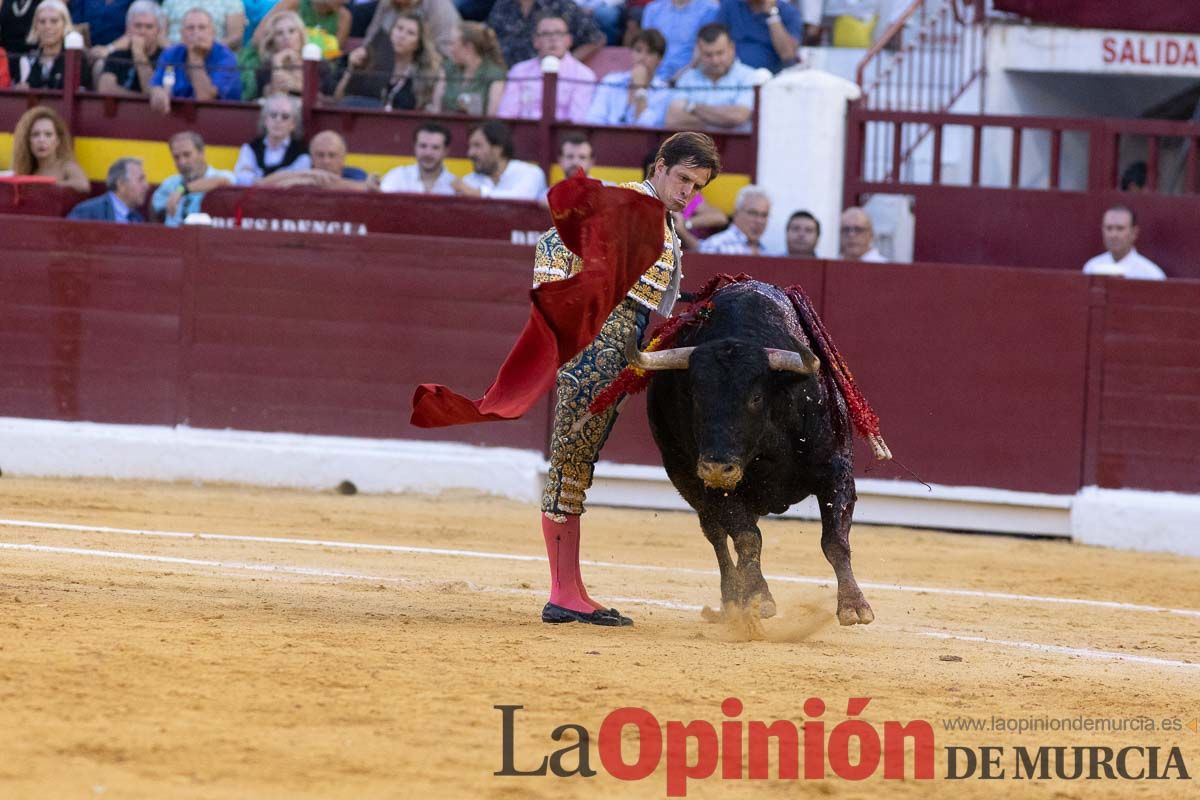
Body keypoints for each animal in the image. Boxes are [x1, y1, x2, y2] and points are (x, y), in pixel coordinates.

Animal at [628, 283, 873, 633]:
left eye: (755, 398)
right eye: (696, 397)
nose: (717, 467)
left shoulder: (835, 471)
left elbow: (835, 540)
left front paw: (854, 606)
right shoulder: (714, 487)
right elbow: (746, 538)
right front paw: (759, 597)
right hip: (686, 478)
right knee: (717, 535)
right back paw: (733, 598)